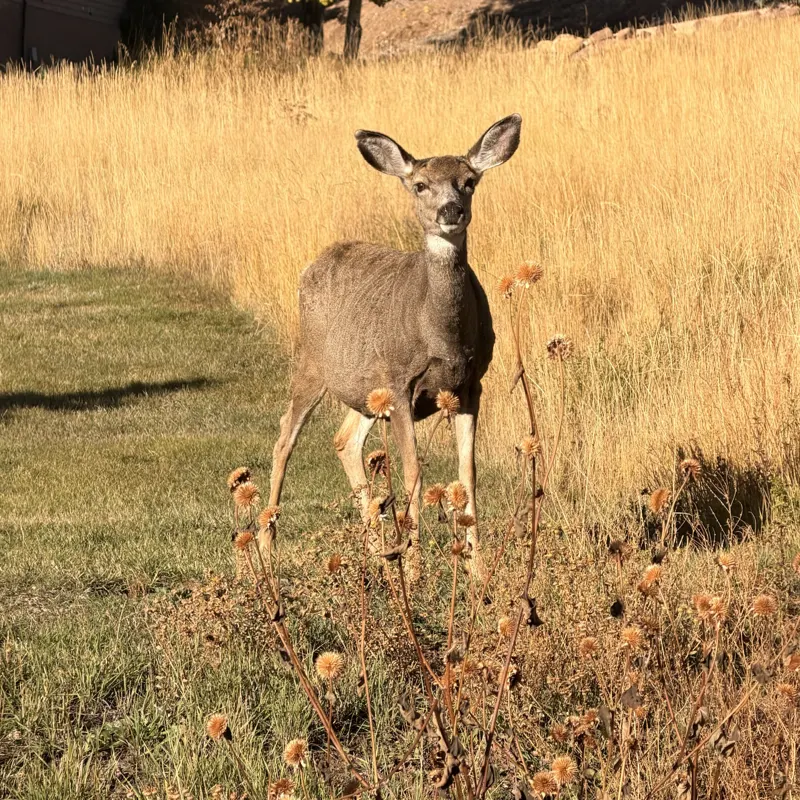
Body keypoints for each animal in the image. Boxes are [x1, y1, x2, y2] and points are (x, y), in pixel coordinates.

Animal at [266, 114, 522, 578]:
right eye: (420, 184)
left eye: (469, 181)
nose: (450, 211)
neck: (440, 334)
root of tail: (314, 263)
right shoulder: (402, 382)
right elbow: (413, 471)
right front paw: (417, 571)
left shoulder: (470, 385)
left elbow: (468, 472)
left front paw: (478, 571)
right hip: (312, 361)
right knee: (285, 436)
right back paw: (265, 549)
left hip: (366, 388)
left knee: (344, 440)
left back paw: (378, 555)